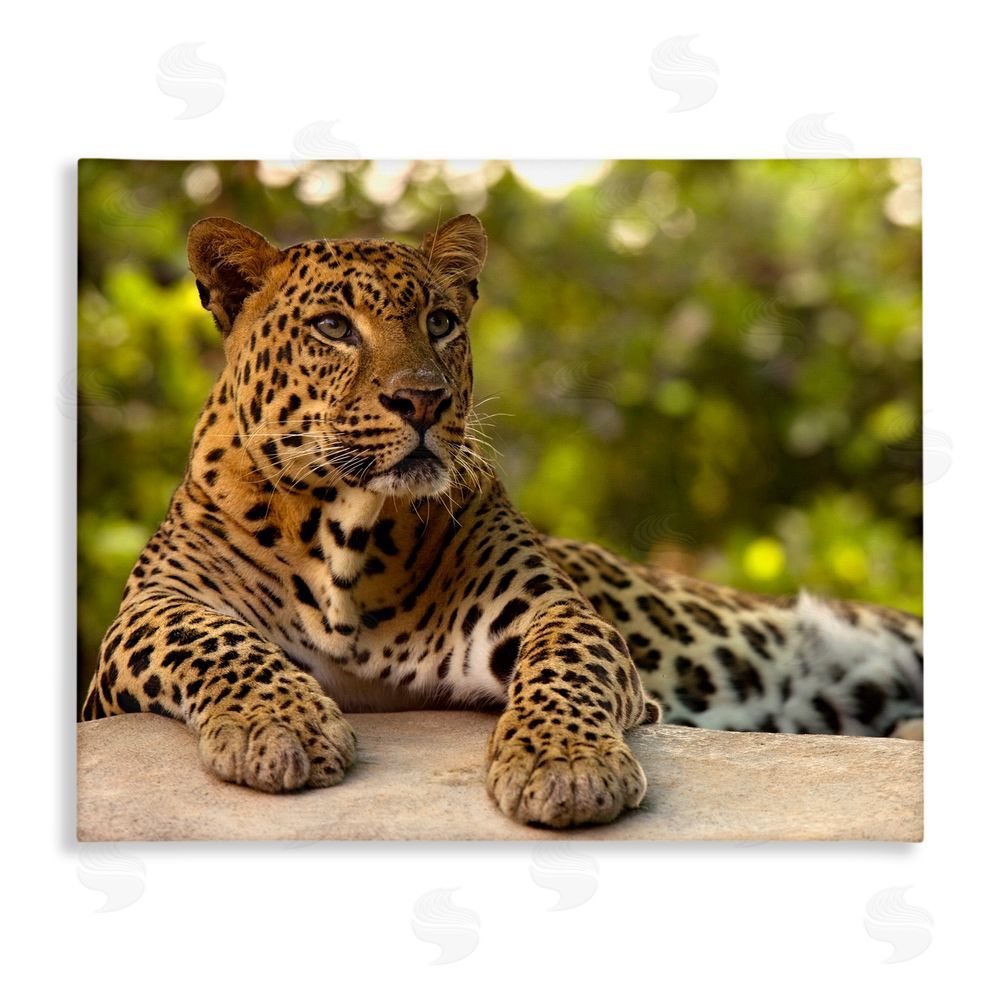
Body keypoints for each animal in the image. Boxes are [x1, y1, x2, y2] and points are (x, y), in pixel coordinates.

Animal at [81, 213, 923, 829]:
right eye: (333, 327)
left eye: (441, 321)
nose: (423, 400)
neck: (345, 532)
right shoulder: (144, 617)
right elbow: (212, 640)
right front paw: (279, 726)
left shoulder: (547, 609)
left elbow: (563, 666)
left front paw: (566, 766)